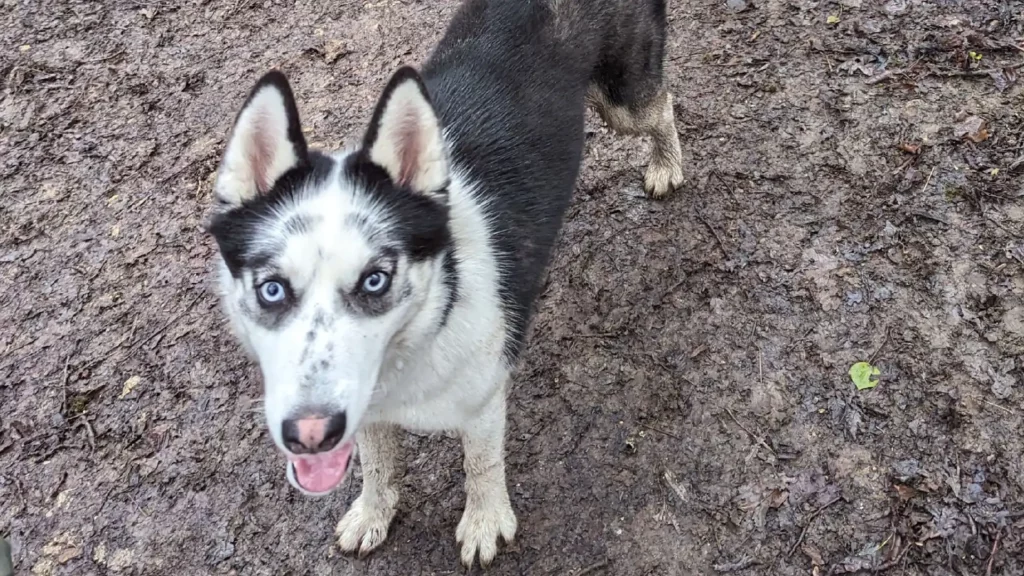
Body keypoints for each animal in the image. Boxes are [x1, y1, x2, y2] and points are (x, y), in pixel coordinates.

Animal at [208, 0, 684, 565]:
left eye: (376, 280)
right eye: (272, 289)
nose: (308, 435)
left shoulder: (482, 401)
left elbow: (481, 465)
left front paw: (485, 523)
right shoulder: (365, 411)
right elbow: (377, 465)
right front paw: (373, 514)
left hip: (622, 103)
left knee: (663, 105)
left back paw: (667, 166)